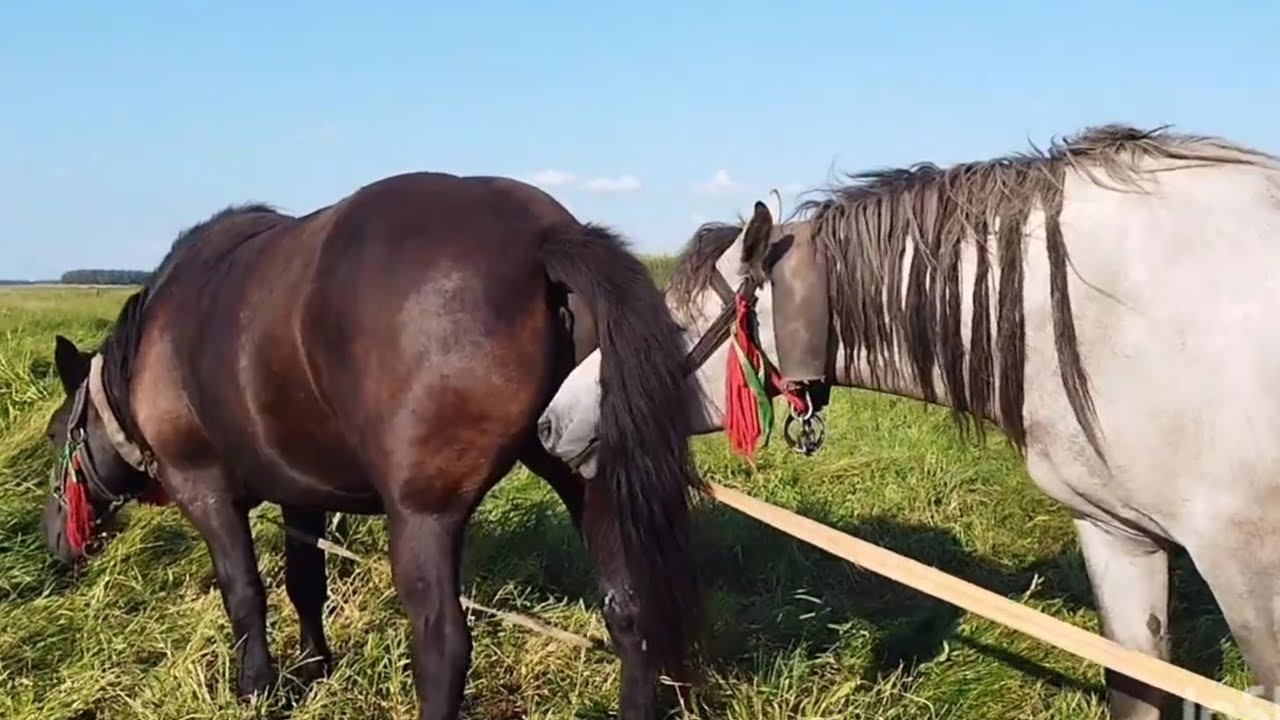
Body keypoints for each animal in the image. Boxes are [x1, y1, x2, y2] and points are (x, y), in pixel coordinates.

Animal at [39, 171, 707, 720]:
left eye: (54, 433)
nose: (55, 544)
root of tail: (545, 237)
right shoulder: (299, 493)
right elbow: (305, 583)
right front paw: (314, 667)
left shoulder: (203, 489)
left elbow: (244, 592)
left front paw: (256, 687)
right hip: (589, 477)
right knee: (629, 612)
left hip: (423, 516)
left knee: (442, 647)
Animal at [537, 124, 1280, 720]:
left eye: (664, 327)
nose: (551, 423)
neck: (1119, 315)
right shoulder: (1117, 535)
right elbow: (1137, 691)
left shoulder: (1245, 563)